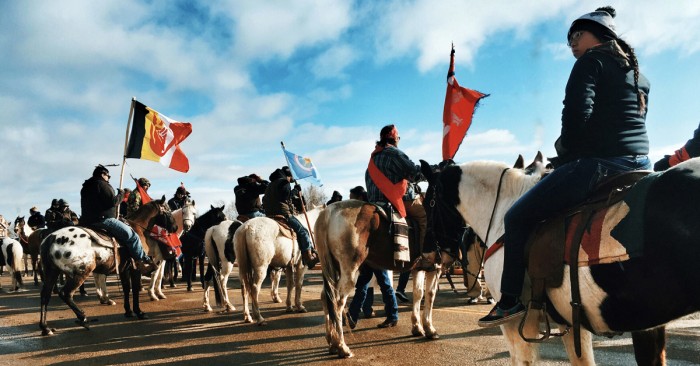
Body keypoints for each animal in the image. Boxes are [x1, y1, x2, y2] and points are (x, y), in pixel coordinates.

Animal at [39, 196, 178, 336]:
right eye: (168, 210)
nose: (175, 227)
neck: (138, 228)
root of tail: (51, 238)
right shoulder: (135, 269)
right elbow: (134, 290)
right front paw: (139, 312)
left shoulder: (124, 269)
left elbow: (126, 289)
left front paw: (128, 311)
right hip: (81, 273)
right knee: (66, 293)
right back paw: (83, 318)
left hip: (52, 272)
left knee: (45, 295)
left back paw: (45, 327)